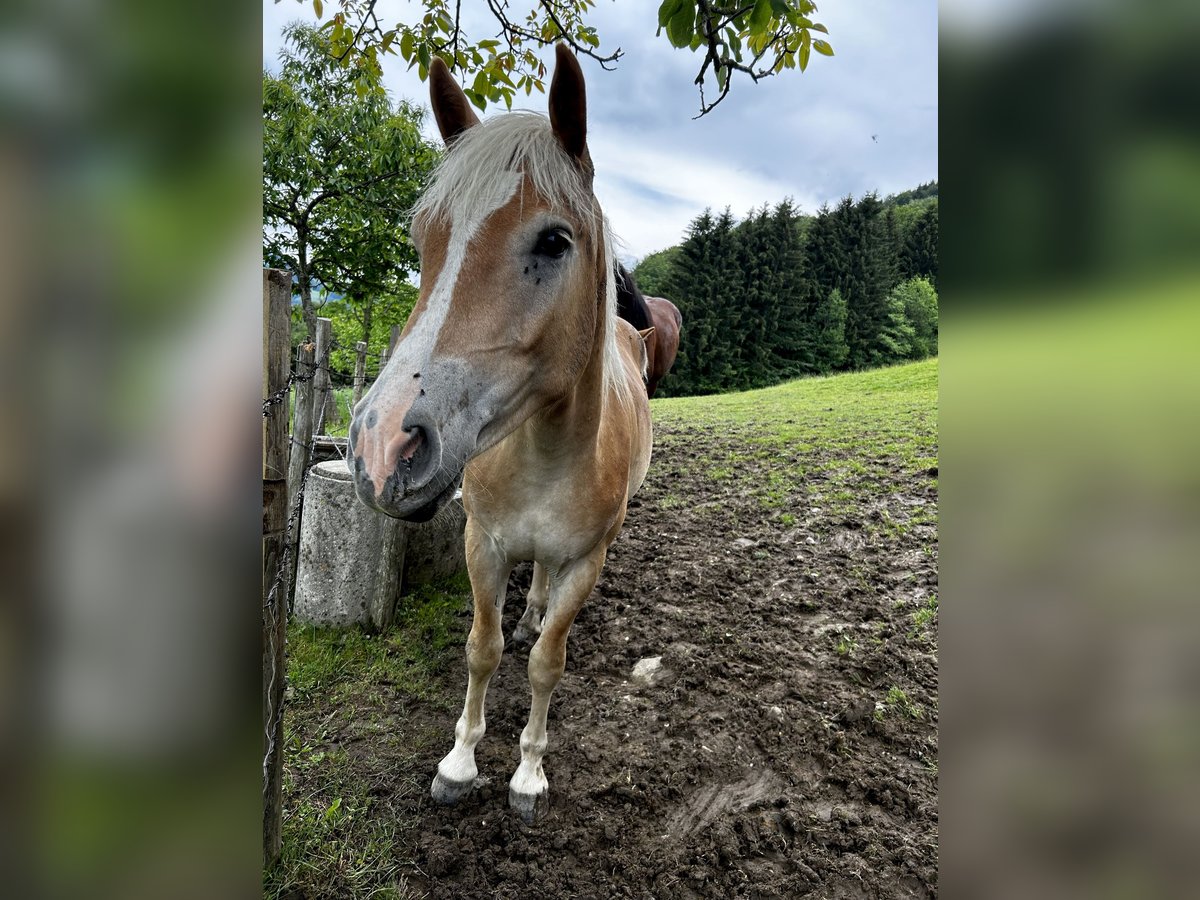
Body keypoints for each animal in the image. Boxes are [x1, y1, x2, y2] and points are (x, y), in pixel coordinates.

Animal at [345, 47, 657, 825]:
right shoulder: (481, 544)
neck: (545, 455)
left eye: (554, 240)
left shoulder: (585, 563)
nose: (382, 445)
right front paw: (458, 764)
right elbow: (482, 649)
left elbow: (549, 662)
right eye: (423, 239)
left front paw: (528, 774)